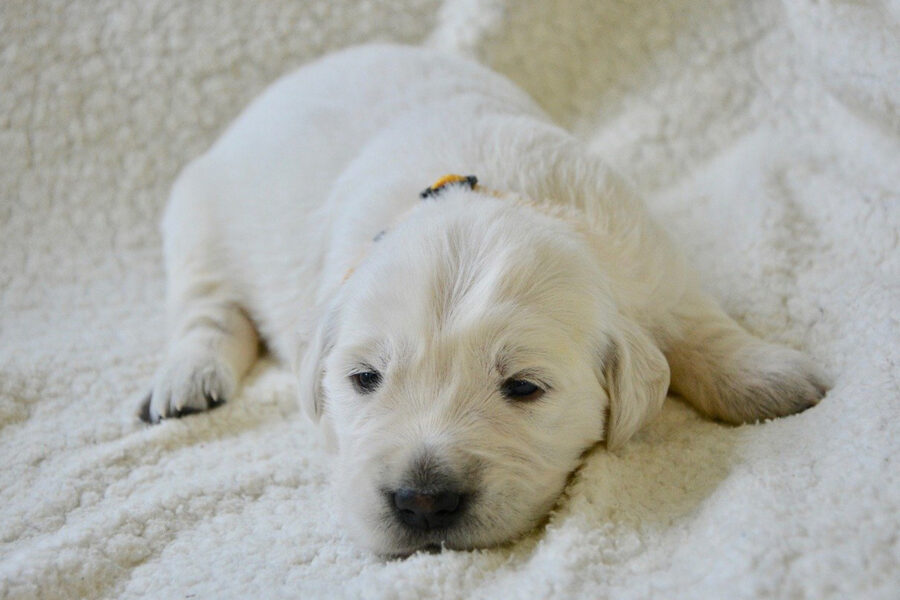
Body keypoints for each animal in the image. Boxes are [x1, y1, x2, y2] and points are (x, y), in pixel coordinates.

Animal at [142, 44, 828, 556]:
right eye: (364, 379)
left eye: (523, 387)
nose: (422, 501)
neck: (492, 190)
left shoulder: (647, 253)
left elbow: (697, 321)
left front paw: (771, 380)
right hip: (197, 216)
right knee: (207, 308)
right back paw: (187, 378)